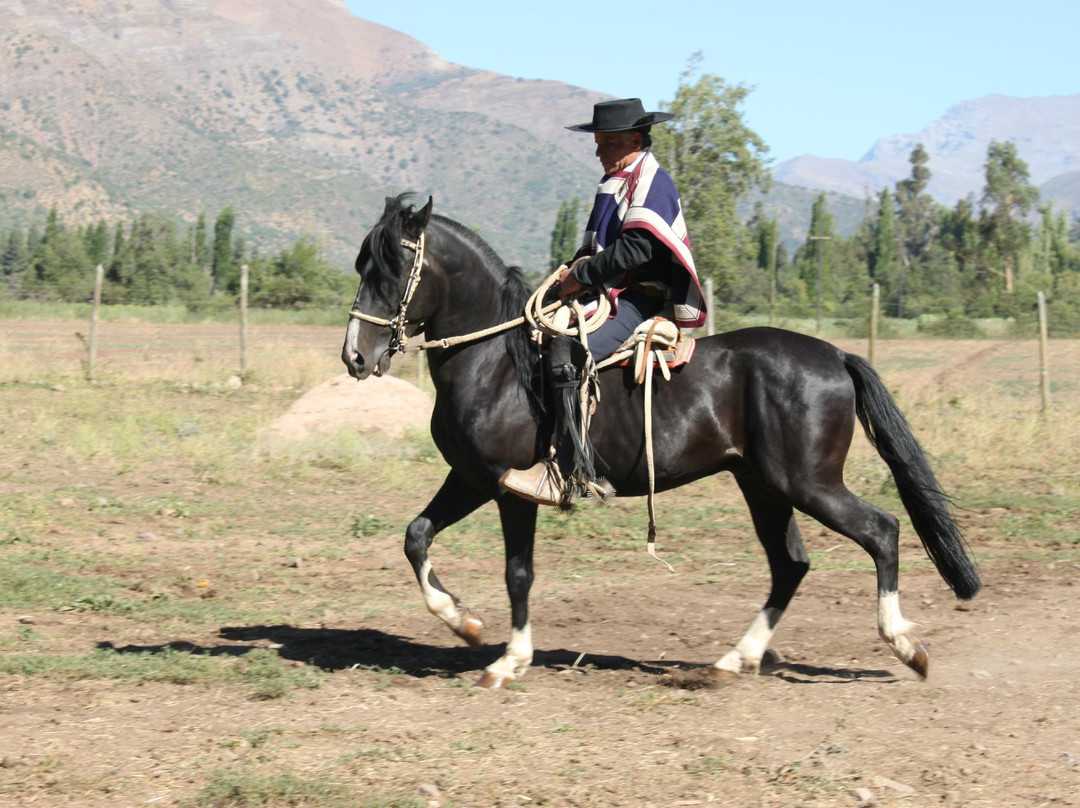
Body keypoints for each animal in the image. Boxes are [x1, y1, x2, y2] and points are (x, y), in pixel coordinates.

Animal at [341, 195, 981, 688]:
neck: (496, 361)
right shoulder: (471, 478)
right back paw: (734, 659)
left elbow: (517, 573)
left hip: (810, 483)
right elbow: (416, 537)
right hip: (764, 486)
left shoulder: (511, 490)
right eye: (361, 264)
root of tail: (836, 356)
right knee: (791, 564)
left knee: (882, 532)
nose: (355, 357)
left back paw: (905, 646)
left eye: (392, 269)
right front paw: (463, 623)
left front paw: (508, 659)